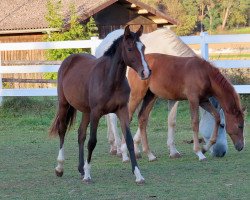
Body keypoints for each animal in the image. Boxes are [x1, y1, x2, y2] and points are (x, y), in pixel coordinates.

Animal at [48, 25, 150, 184]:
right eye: (129, 48)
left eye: (143, 47)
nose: (145, 72)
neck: (110, 80)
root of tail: (70, 59)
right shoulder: (96, 113)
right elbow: (92, 142)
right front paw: (88, 175)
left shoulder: (122, 110)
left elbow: (128, 140)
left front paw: (138, 175)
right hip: (64, 105)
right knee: (62, 130)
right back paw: (60, 168)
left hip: (86, 111)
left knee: (81, 134)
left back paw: (81, 169)